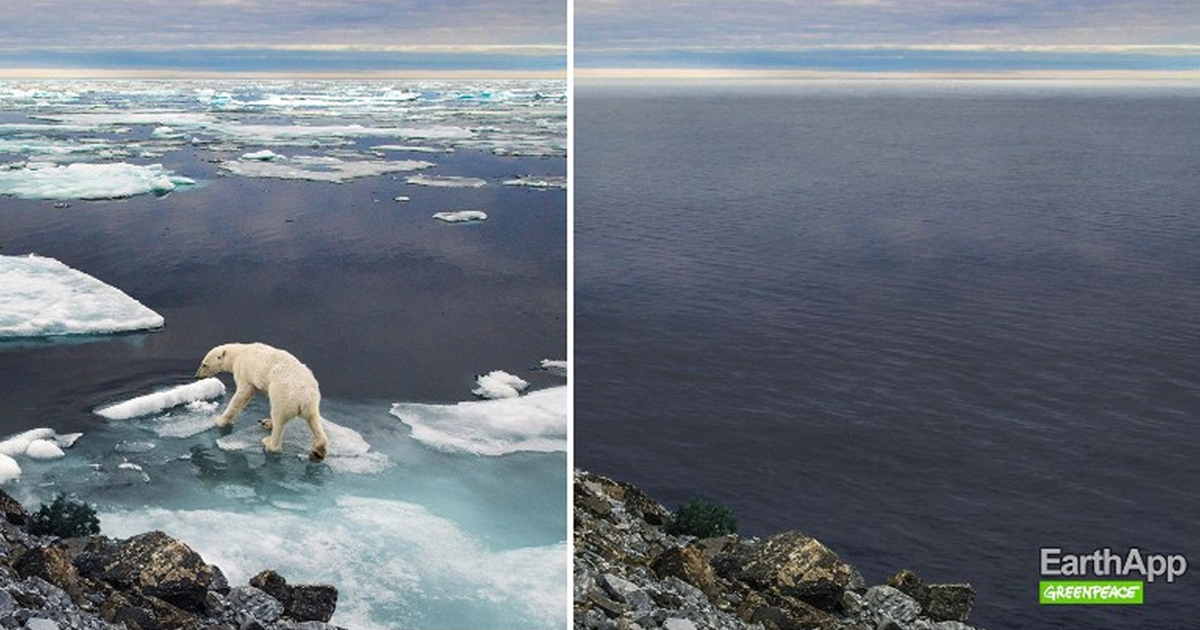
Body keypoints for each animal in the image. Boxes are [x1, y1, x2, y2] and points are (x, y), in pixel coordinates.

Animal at [195, 340, 328, 458]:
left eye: (204, 364)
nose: (197, 376)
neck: (239, 353)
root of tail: (304, 397)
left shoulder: (244, 370)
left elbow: (242, 394)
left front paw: (220, 420)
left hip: (283, 395)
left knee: (279, 417)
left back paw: (269, 441)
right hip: (312, 402)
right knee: (314, 419)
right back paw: (318, 450)